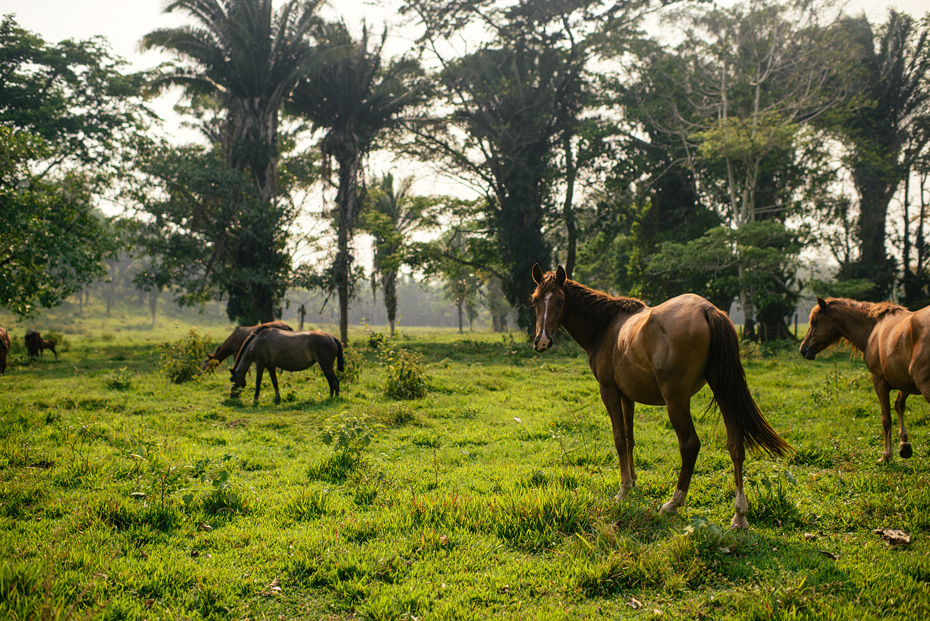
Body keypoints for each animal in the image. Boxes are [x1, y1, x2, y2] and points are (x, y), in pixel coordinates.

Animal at [532, 264, 788, 532]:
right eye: (535, 300)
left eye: (561, 300)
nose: (542, 341)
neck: (606, 326)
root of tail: (707, 309)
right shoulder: (627, 395)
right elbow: (630, 438)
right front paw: (633, 481)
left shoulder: (609, 391)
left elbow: (619, 439)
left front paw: (623, 490)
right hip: (723, 390)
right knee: (735, 444)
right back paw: (739, 515)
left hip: (676, 401)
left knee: (690, 445)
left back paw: (673, 503)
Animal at [796, 296, 928, 460]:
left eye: (814, 322)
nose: (802, 349)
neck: (873, 328)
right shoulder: (903, 381)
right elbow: (899, 406)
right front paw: (904, 444)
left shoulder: (879, 381)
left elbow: (886, 419)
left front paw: (886, 455)